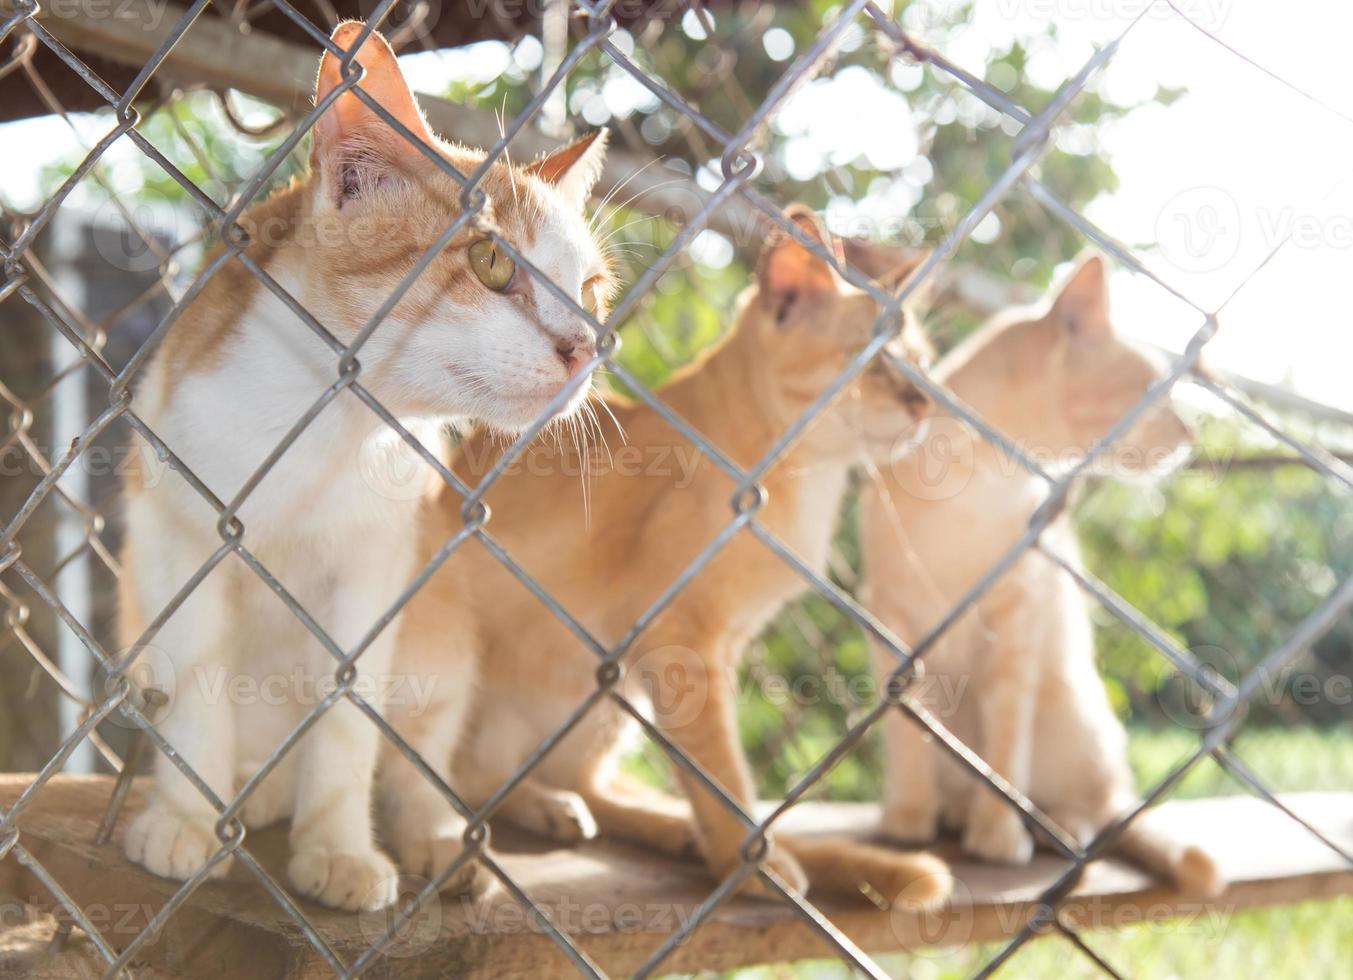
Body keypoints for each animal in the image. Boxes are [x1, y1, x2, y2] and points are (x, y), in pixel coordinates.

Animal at [120, 21, 608, 909]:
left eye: (590, 290)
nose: (587, 348)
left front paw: (337, 848)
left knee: (425, 761)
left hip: (440, 639)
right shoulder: (177, 535)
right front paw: (185, 817)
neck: (325, 428)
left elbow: (347, 721)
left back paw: (438, 838)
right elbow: (195, 691)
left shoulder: (377, 568)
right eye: (491, 264)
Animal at [376, 207, 952, 904]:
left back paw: (656, 825)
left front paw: (738, 846)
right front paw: (747, 861)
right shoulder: (685, 640)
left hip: (606, 684)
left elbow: (715, 771)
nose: (925, 403)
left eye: (923, 365)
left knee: (577, 780)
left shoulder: (712, 645)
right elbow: (720, 772)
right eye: (876, 364)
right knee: (477, 774)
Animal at [865, 254, 1228, 893]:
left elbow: (1006, 751)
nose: (1191, 431)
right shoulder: (890, 619)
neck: (976, 487)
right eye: (1152, 392)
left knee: (1095, 808)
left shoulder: (1019, 618)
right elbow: (908, 736)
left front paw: (997, 835)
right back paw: (950, 812)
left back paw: (1052, 828)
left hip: (1072, 711)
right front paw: (907, 821)